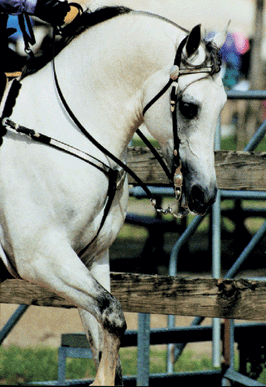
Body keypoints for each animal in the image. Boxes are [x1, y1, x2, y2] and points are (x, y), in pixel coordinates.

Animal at [1, 6, 228, 384]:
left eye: (223, 104)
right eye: (189, 107)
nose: (204, 194)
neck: (64, 131)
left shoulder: (92, 258)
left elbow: (107, 332)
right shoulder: (41, 258)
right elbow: (113, 314)